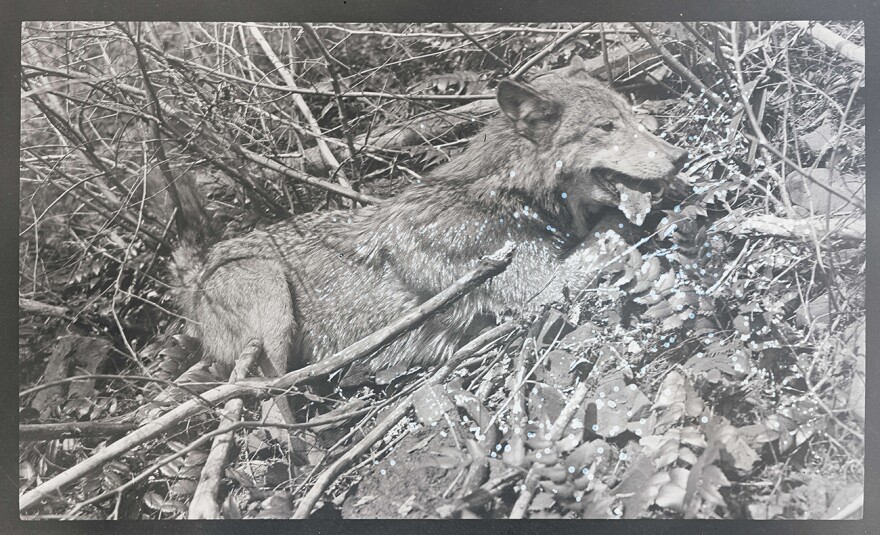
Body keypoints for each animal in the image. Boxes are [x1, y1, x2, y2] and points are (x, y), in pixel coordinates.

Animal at [172, 55, 688, 394]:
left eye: (630, 118)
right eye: (605, 128)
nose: (679, 156)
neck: (510, 197)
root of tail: (197, 276)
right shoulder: (538, 289)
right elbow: (609, 231)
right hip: (273, 305)